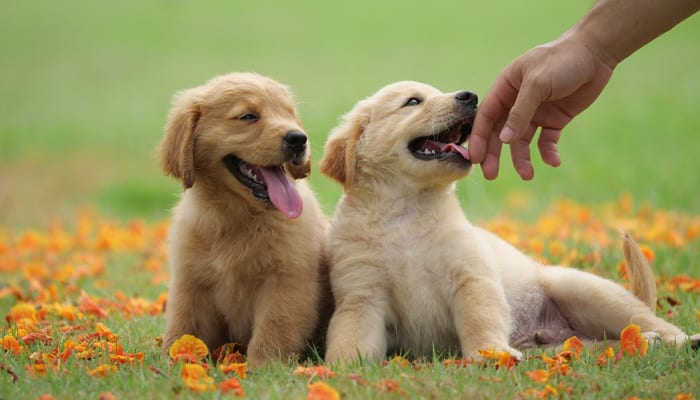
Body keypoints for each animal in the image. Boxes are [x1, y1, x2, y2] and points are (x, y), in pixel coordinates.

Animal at [160, 72, 330, 368]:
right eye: (248, 116)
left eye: (289, 114)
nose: (299, 138)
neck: (237, 216)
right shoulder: (191, 282)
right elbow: (184, 327)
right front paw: (175, 362)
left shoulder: (286, 282)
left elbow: (273, 329)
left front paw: (264, 368)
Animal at [320, 80, 696, 362]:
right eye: (412, 102)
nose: (470, 96)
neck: (405, 213)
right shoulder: (361, 296)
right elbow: (350, 338)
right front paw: (342, 370)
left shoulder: (472, 278)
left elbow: (479, 319)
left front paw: (489, 354)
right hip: (562, 346)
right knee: (602, 343)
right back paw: (642, 343)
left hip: (586, 291)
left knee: (650, 322)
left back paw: (679, 340)